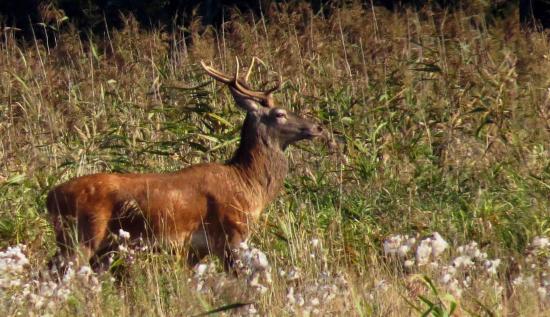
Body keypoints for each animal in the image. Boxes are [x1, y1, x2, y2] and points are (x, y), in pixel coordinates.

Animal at [47, 58, 326, 272]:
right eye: (280, 113)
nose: (318, 127)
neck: (248, 183)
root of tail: (50, 197)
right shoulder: (232, 232)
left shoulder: (197, 249)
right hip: (83, 234)